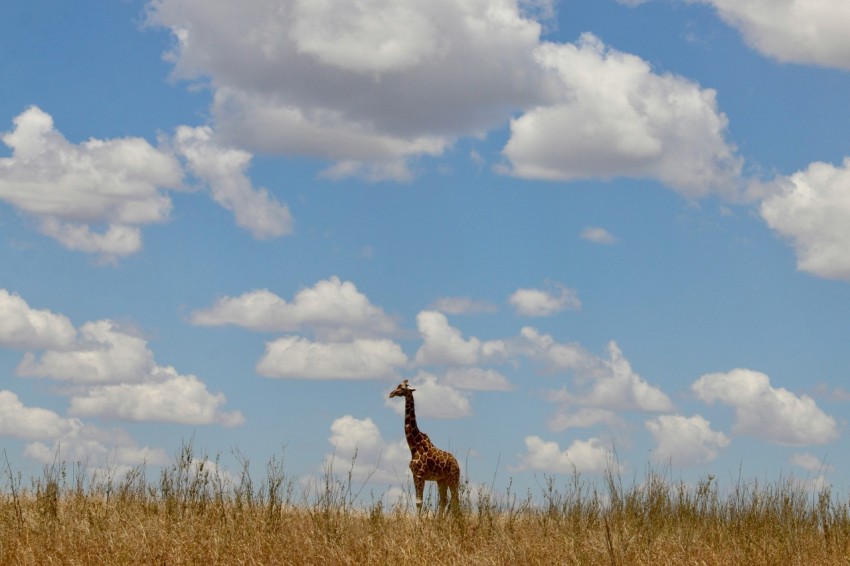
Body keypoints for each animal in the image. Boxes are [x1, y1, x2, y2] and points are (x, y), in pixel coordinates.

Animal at [390, 380, 460, 516]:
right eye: (398, 385)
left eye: (402, 387)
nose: (391, 393)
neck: (414, 446)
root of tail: (457, 464)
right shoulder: (415, 475)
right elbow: (419, 501)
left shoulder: (420, 475)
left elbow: (419, 502)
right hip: (442, 480)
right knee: (444, 500)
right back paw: (440, 520)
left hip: (453, 478)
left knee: (455, 500)